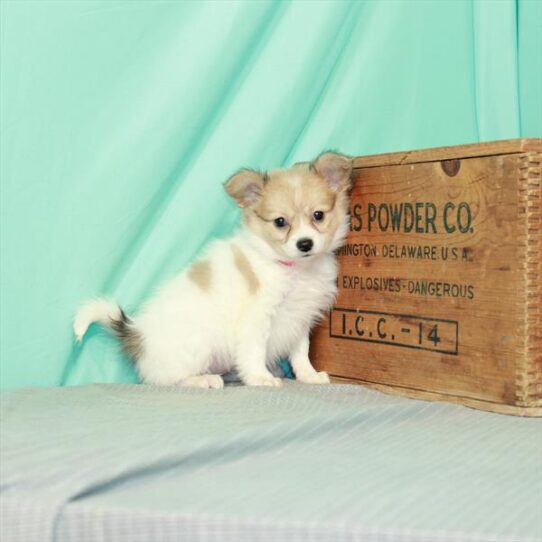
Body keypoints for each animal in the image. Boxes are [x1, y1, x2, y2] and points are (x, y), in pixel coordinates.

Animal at [74, 153, 354, 388]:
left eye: (318, 215)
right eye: (280, 222)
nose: (304, 244)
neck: (293, 268)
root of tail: (138, 333)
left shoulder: (300, 319)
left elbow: (300, 353)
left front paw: (308, 375)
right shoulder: (257, 319)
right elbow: (254, 352)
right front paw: (260, 378)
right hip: (199, 346)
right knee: (168, 380)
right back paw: (203, 380)